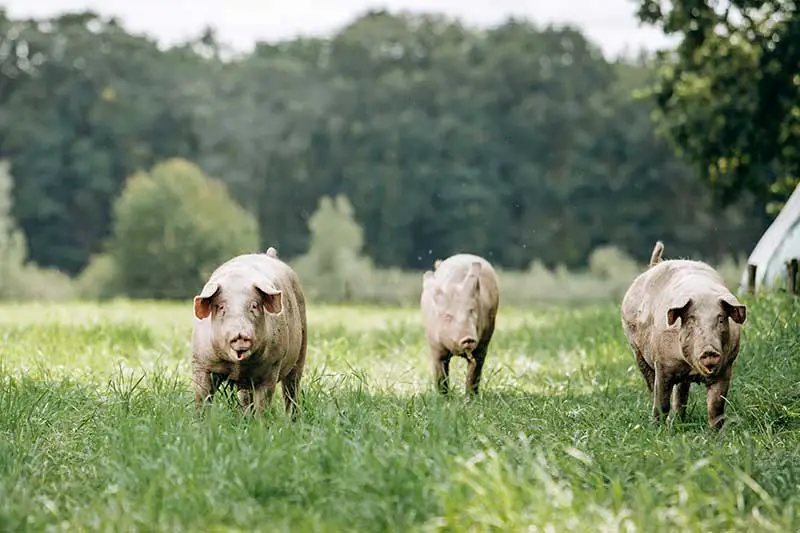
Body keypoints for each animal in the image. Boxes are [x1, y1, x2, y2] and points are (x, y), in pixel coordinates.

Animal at [191, 249, 310, 416]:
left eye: (254, 306)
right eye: (221, 307)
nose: (240, 334)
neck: (237, 366)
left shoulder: (271, 367)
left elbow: (264, 402)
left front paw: (261, 421)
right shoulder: (200, 362)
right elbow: (201, 396)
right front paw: (200, 419)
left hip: (302, 348)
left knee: (291, 388)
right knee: (245, 397)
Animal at [418, 254, 500, 394]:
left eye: (472, 311)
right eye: (448, 316)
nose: (467, 338)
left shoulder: (481, 346)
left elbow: (474, 375)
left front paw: (471, 397)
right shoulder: (435, 346)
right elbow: (441, 377)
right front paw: (442, 397)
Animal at [620, 240, 748, 428]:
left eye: (720, 319)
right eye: (692, 320)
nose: (709, 350)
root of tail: (654, 265)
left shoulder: (726, 368)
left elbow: (716, 406)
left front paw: (715, 433)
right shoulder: (663, 364)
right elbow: (662, 402)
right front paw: (658, 429)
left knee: (681, 395)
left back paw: (680, 421)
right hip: (637, 352)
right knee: (652, 386)